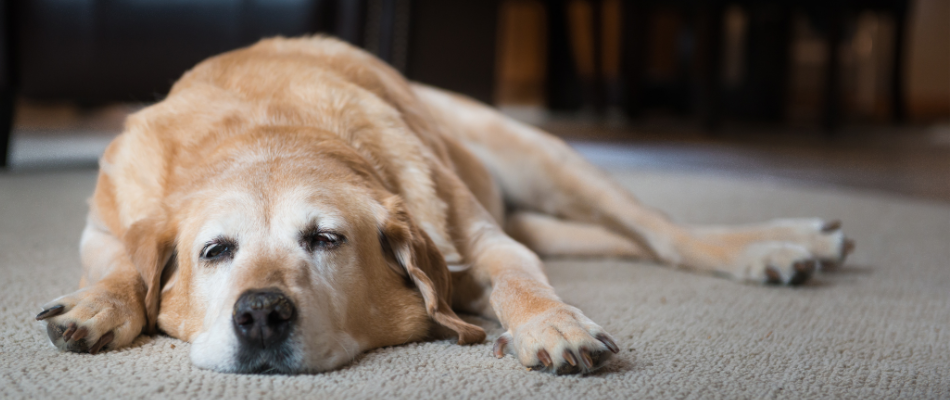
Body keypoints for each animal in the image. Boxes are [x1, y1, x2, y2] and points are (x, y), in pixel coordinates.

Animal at [35, 36, 856, 376]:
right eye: (215, 252)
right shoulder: (101, 227)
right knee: (619, 242)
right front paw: (99, 306)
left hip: (544, 159)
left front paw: (552, 325)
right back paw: (801, 243)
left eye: (325, 239)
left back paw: (775, 246)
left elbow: (520, 279)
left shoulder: (483, 241)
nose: (261, 313)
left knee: (662, 234)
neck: (269, 131)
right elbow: (122, 266)